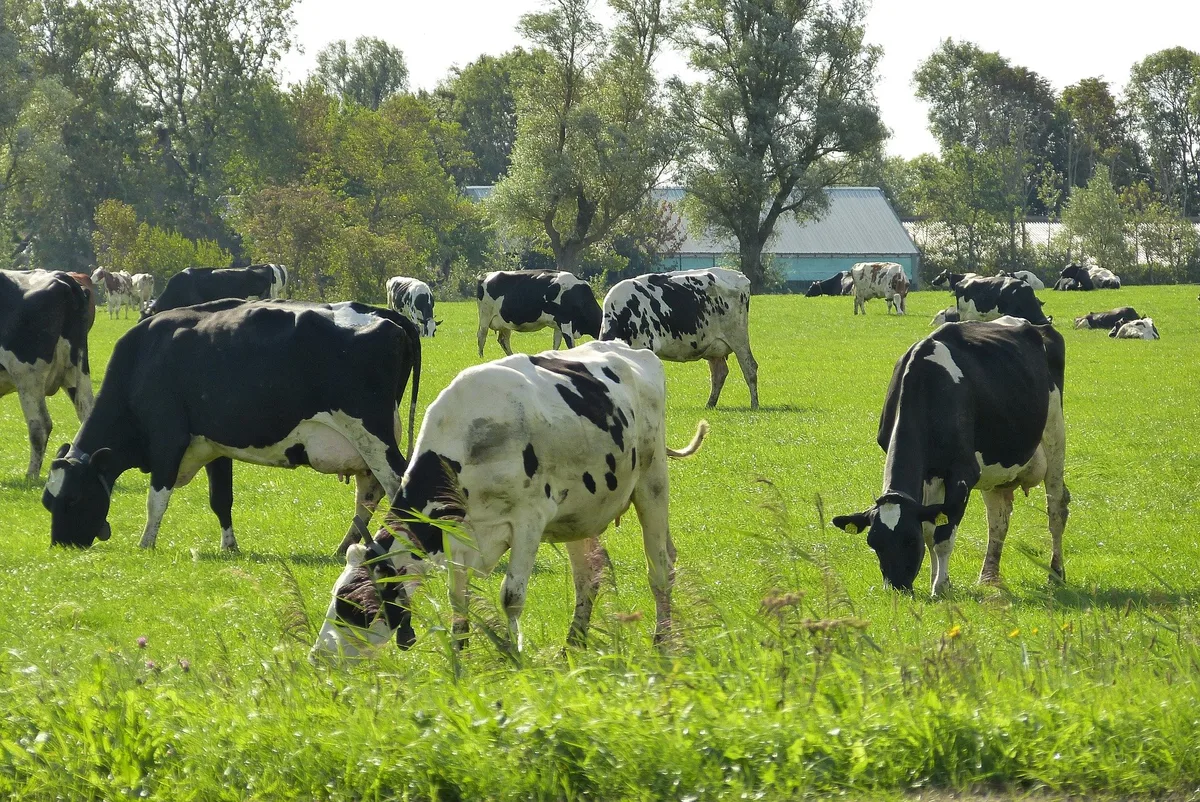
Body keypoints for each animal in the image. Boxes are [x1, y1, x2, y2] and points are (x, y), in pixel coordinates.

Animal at [1, 270, 94, 481]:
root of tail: (62, 277)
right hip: (77, 372)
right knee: (87, 413)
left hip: (28, 376)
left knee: (40, 425)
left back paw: (30, 476)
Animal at [43, 299, 421, 554]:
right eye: (48, 502)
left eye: (74, 498)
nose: (61, 545)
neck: (141, 359)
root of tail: (386, 314)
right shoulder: (213, 444)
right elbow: (221, 499)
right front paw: (229, 547)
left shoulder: (168, 438)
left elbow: (156, 499)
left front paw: (145, 544)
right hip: (365, 445)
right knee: (369, 494)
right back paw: (348, 547)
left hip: (371, 435)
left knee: (398, 485)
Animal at [311, 340, 709, 660]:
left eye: (352, 602)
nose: (318, 657)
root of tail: (633, 350)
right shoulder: (458, 532)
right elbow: (459, 598)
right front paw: (460, 655)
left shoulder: (529, 520)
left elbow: (511, 595)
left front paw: (513, 654)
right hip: (578, 513)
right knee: (589, 577)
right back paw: (572, 646)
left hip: (652, 482)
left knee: (660, 569)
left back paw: (662, 642)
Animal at [600, 268, 759, 410]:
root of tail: (739, 275)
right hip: (714, 346)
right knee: (719, 373)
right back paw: (710, 405)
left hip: (738, 337)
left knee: (750, 367)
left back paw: (754, 404)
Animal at [831, 317, 1068, 596]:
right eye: (873, 542)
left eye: (910, 539)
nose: (897, 588)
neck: (926, 385)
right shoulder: (929, 476)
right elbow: (930, 531)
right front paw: (938, 579)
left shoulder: (963, 473)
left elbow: (943, 536)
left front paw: (940, 587)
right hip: (995, 471)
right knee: (998, 520)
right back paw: (988, 577)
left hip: (1055, 435)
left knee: (1056, 509)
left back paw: (1056, 573)